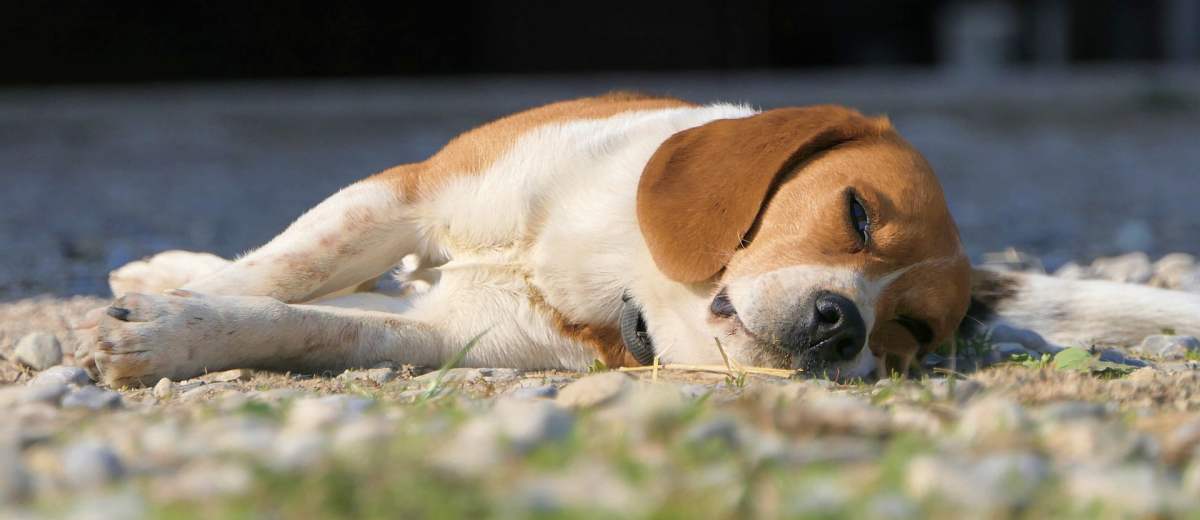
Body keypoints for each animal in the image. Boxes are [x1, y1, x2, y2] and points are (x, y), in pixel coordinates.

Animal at [72, 92, 1200, 384]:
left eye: (914, 334)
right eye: (856, 213)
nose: (841, 325)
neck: (618, 268)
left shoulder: (452, 335)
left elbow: (307, 322)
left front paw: (168, 331)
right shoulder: (414, 192)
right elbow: (284, 270)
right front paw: (170, 312)